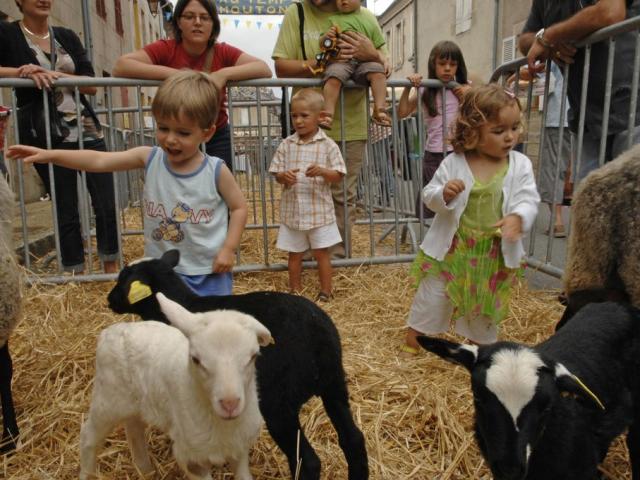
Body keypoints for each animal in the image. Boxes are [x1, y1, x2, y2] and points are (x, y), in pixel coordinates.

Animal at [79, 292, 272, 480]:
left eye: (253, 356)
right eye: (195, 359)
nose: (230, 403)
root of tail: (112, 330)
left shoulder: (240, 448)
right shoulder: (190, 458)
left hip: (135, 404)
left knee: (134, 430)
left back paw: (146, 471)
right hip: (107, 400)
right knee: (88, 436)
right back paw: (87, 473)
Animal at [107, 249, 368, 478]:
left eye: (123, 279)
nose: (110, 300)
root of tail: (318, 336)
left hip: (278, 404)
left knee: (308, 461)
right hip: (334, 385)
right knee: (353, 439)